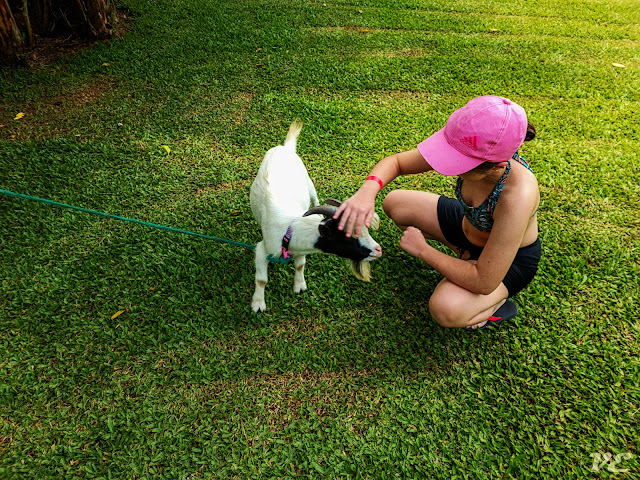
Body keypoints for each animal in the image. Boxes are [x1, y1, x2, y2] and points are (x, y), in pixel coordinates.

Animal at [250, 120, 380, 314]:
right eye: (347, 236)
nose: (378, 250)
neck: (290, 230)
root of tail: (285, 147)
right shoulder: (262, 249)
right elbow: (261, 279)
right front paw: (258, 304)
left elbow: (300, 265)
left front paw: (299, 286)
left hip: (309, 183)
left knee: (315, 198)